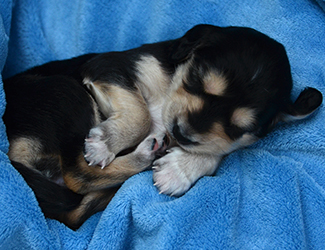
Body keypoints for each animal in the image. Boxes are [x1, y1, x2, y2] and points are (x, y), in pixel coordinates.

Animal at [3, 24, 322, 229]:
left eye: (236, 128)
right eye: (195, 80)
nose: (179, 133)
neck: (169, 90)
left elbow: (215, 150)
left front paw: (179, 170)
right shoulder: (108, 67)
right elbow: (142, 113)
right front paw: (106, 143)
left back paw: (151, 154)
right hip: (65, 90)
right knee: (78, 174)